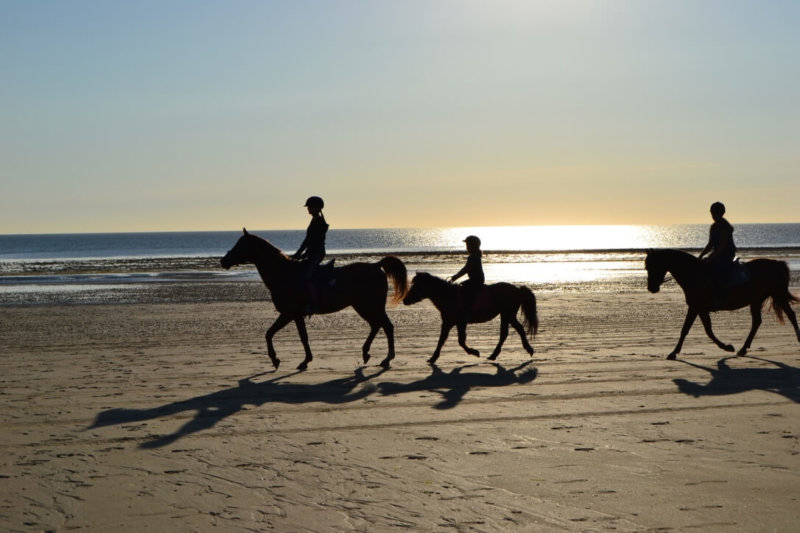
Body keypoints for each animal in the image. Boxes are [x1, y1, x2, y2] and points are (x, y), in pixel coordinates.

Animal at [220, 229, 410, 370]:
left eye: (241, 245)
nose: (223, 260)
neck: (283, 273)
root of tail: (376, 266)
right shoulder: (295, 315)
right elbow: (300, 336)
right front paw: (305, 359)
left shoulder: (289, 314)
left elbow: (271, 333)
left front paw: (276, 359)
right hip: (364, 307)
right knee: (377, 325)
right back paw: (366, 353)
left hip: (370, 306)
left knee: (386, 326)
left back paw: (387, 358)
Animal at [400, 272, 536, 364]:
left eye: (417, 286)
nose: (405, 300)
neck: (448, 296)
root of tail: (517, 289)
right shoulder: (447, 322)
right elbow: (441, 339)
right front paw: (433, 358)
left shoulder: (461, 322)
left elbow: (460, 341)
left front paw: (474, 352)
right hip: (507, 315)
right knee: (514, 330)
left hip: (507, 314)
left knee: (508, 332)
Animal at [648, 248, 796, 358]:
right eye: (647, 266)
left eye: (654, 265)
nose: (651, 288)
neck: (694, 274)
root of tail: (776, 263)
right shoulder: (700, 309)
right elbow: (708, 330)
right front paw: (726, 347)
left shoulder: (695, 307)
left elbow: (686, 329)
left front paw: (674, 352)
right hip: (757, 300)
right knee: (757, 322)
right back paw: (743, 349)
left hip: (779, 294)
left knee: (791, 315)